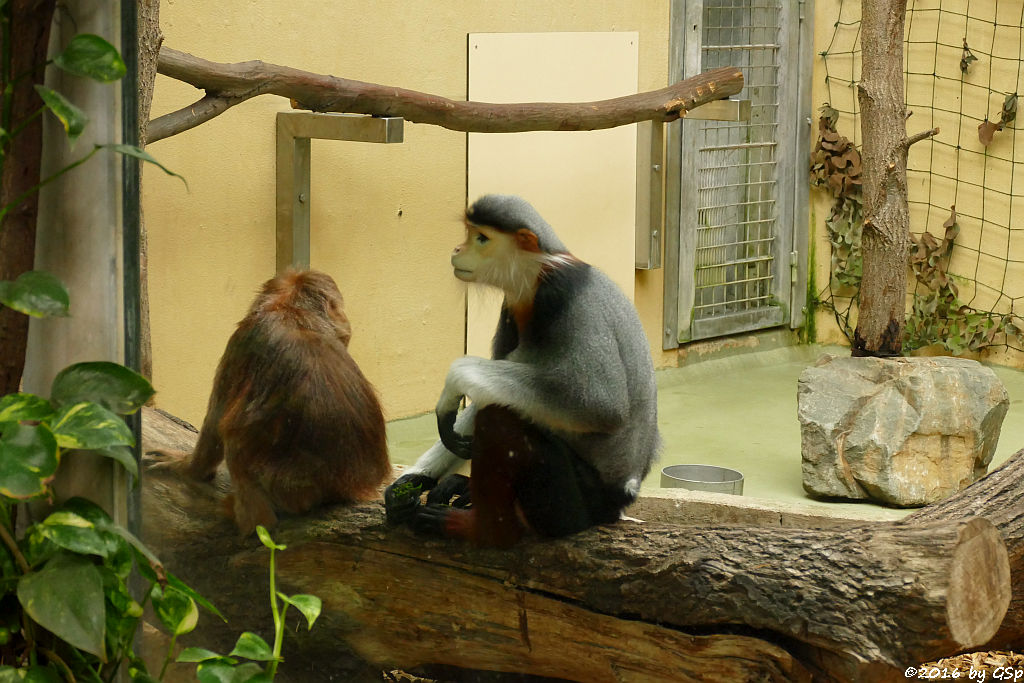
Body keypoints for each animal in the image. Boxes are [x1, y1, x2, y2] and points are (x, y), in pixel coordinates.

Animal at [153, 270, 389, 536]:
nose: (345, 321)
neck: (293, 312)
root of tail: (350, 485)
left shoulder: (242, 338)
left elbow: (215, 422)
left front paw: (187, 466)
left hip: (286, 485)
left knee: (233, 435)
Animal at [385, 194, 663, 548]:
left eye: (481, 238)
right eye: (470, 233)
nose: (457, 249)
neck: (539, 273)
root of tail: (619, 503)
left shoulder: (563, 294)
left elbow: (601, 405)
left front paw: (453, 383)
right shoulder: (512, 304)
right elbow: (490, 394)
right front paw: (412, 482)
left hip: (576, 505)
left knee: (502, 419)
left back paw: (481, 528)